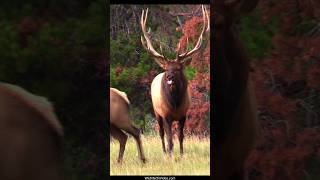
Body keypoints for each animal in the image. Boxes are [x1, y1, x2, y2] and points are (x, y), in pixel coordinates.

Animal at [140, 4, 210, 155]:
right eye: (167, 68)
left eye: (178, 68)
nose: (169, 76)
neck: (175, 104)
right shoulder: (166, 115)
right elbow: (170, 138)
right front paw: (171, 154)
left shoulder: (183, 114)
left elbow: (181, 136)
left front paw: (182, 154)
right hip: (156, 112)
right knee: (161, 133)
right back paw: (165, 151)